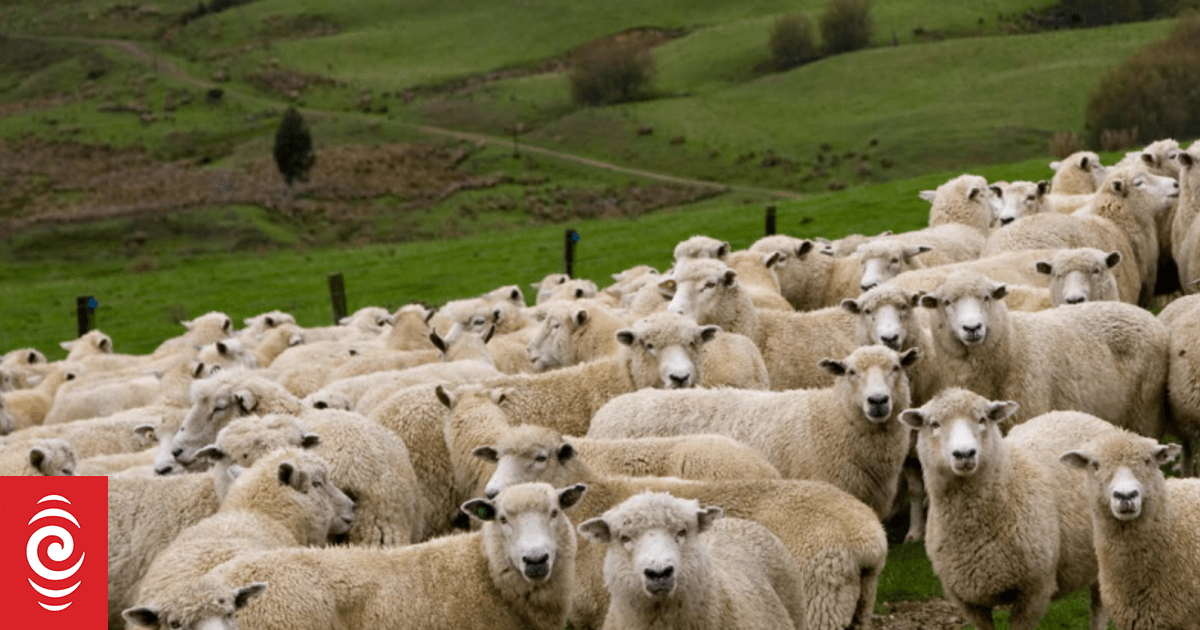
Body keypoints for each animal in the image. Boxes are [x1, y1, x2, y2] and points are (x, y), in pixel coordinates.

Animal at [901, 388, 1119, 630]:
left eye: (982, 419)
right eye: (934, 424)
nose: (965, 454)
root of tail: (1079, 414)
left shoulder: (1034, 591)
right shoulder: (967, 600)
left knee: (1099, 607)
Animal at [918, 270, 1169, 432]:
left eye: (986, 297)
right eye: (947, 302)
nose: (972, 328)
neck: (1013, 344)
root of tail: (1147, 315)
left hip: (1145, 408)